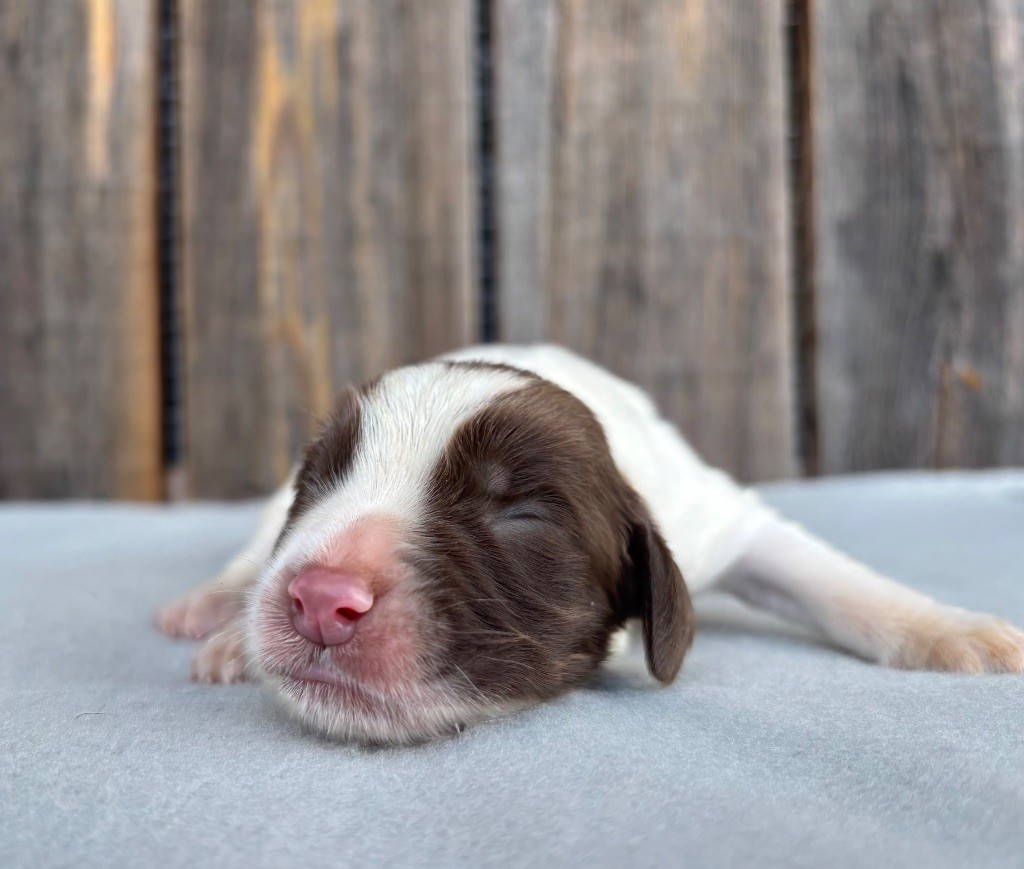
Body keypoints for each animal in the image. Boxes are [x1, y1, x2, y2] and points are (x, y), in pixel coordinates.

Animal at [153, 341, 1024, 741]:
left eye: (522, 515)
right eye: (322, 477)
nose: (318, 600)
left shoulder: (718, 514)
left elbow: (826, 577)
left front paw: (953, 629)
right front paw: (234, 631)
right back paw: (215, 616)